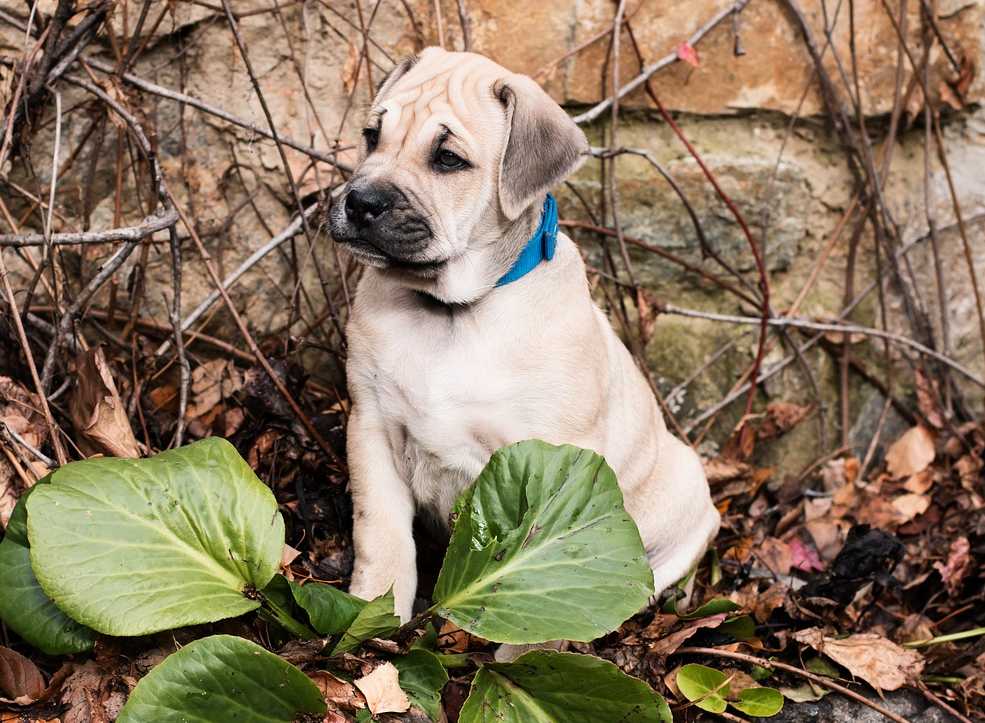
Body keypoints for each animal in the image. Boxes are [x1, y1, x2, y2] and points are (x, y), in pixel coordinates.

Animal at [326, 49, 720, 628]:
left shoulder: (552, 462)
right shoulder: (372, 426)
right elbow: (381, 532)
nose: (359, 202)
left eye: (448, 160)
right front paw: (371, 614)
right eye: (372, 136)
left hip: (686, 483)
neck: (451, 311)